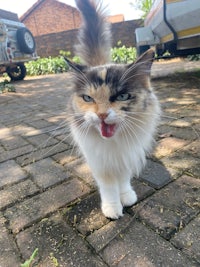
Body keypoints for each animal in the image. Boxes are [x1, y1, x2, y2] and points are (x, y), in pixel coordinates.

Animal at [66, 0, 160, 220]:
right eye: (88, 98)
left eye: (122, 96)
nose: (101, 114)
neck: (114, 142)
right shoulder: (99, 161)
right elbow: (108, 186)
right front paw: (112, 207)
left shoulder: (126, 154)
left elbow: (123, 179)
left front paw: (126, 196)